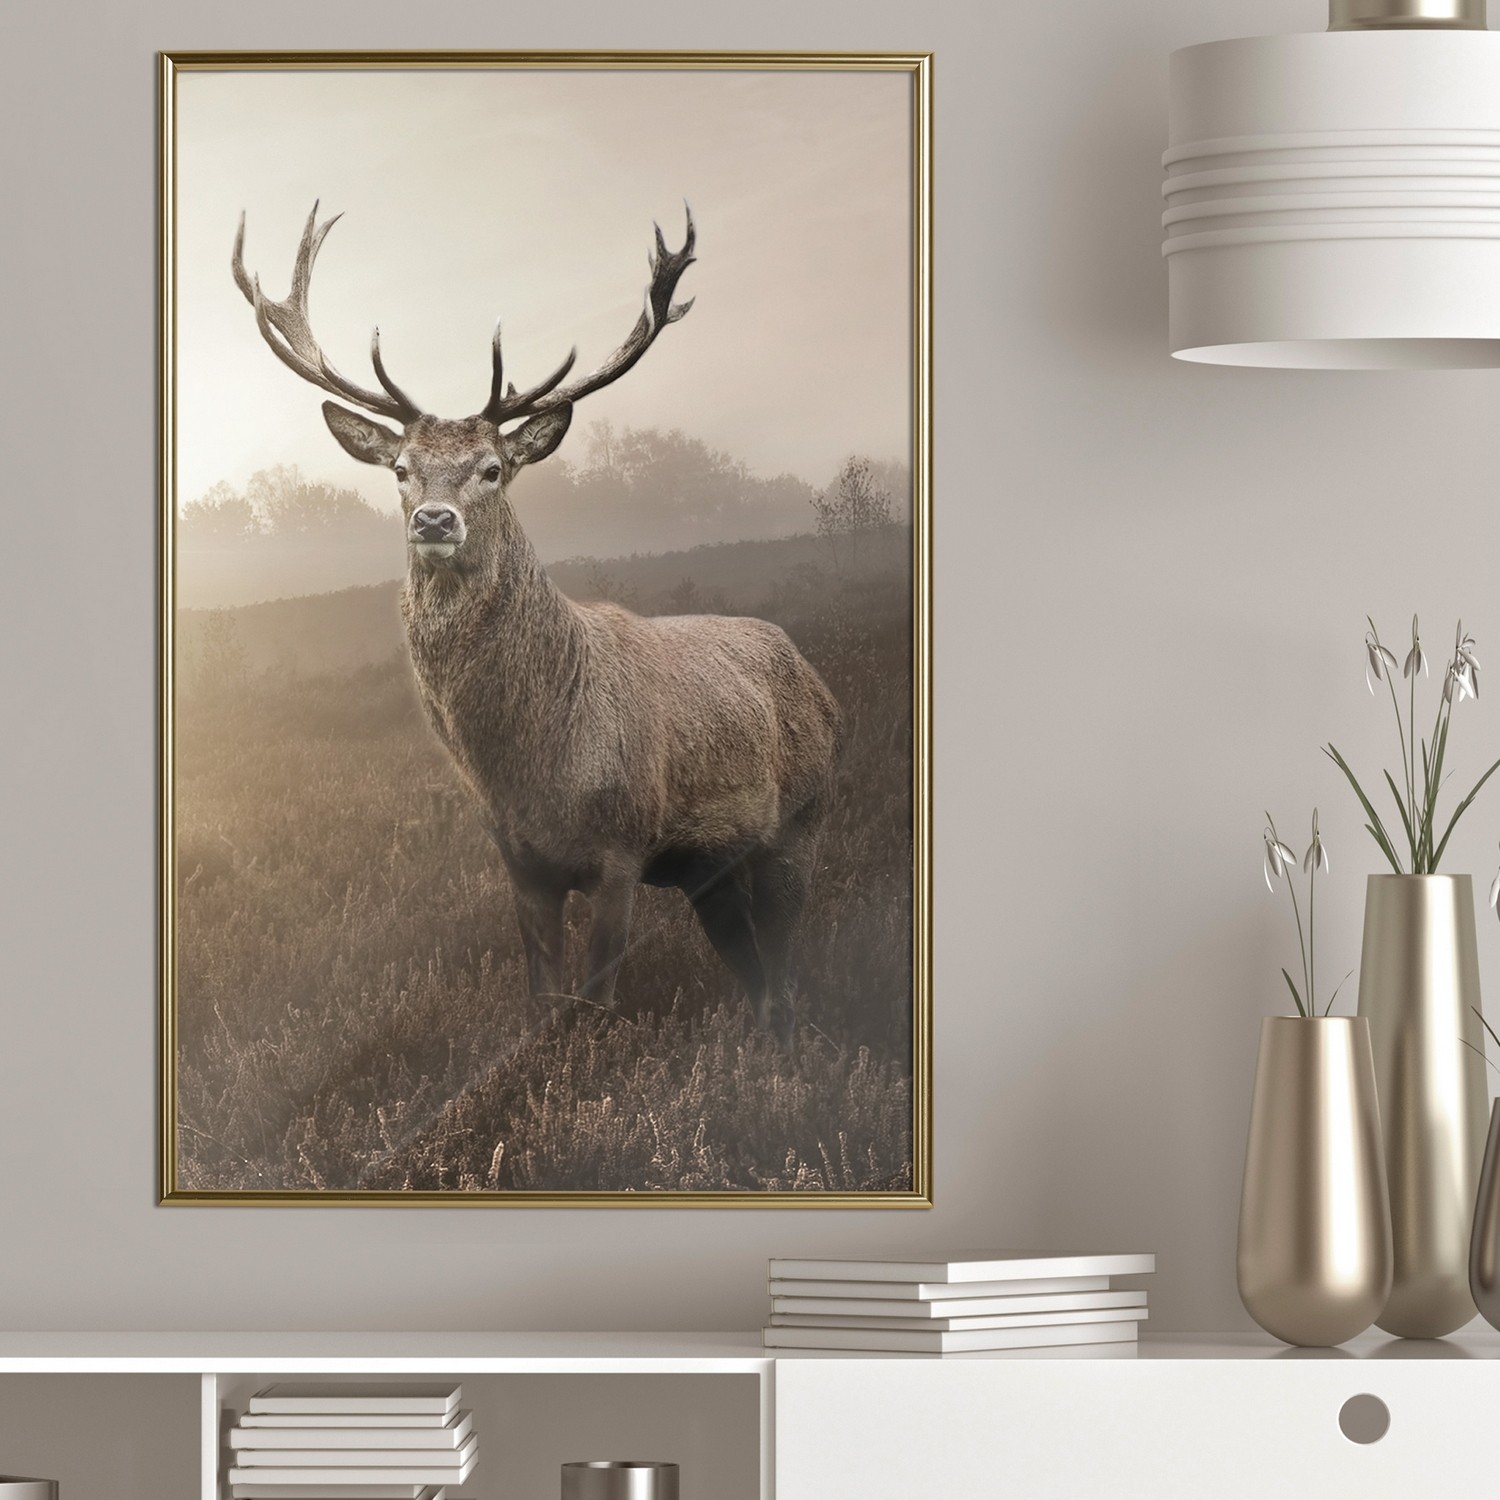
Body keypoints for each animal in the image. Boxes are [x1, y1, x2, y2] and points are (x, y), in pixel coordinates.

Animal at [232, 203, 841, 1042]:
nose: (433, 518)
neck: (533, 771)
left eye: (493, 468)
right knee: (752, 969)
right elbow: (544, 1004)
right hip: (710, 870)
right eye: (400, 470)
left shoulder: (622, 844)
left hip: (803, 818)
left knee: (784, 969)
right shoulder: (521, 864)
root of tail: (817, 677)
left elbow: (597, 1003)